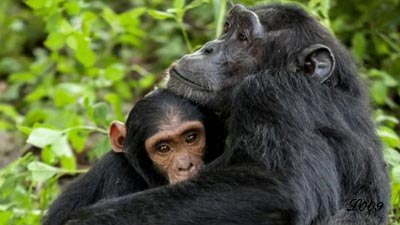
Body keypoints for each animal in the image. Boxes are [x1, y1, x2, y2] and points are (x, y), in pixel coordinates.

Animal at [65, 3, 390, 225]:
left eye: (243, 37)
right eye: (228, 28)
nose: (209, 46)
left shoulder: (274, 95)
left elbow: (278, 186)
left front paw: (88, 220)